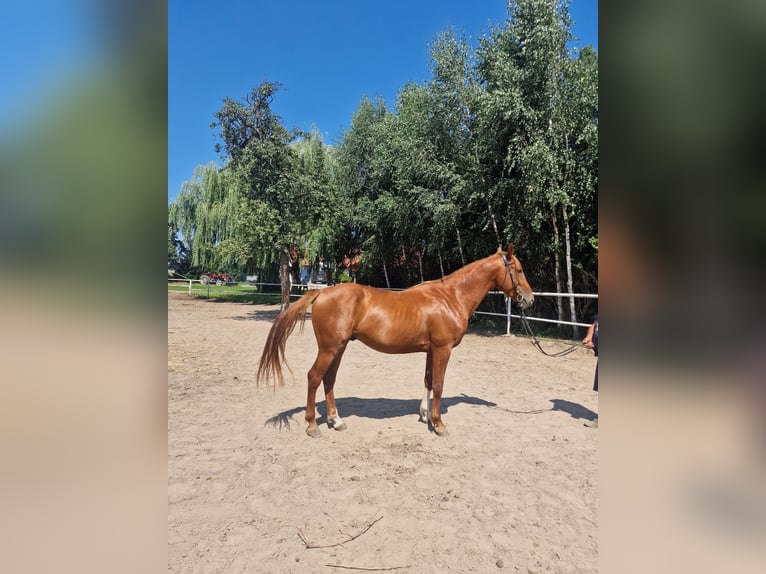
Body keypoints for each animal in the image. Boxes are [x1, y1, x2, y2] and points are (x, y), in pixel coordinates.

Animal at [256, 243, 536, 436]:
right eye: (519, 269)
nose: (530, 299)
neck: (450, 297)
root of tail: (322, 292)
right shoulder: (443, 349)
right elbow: (438, 385)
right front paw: (439, 424)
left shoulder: (431, 350)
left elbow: (428, 381)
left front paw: (425, 416)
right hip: (329, 348)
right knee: (314, 377)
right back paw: (313, 425)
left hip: (339, 347)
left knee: (329, 380)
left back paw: (336, 421)